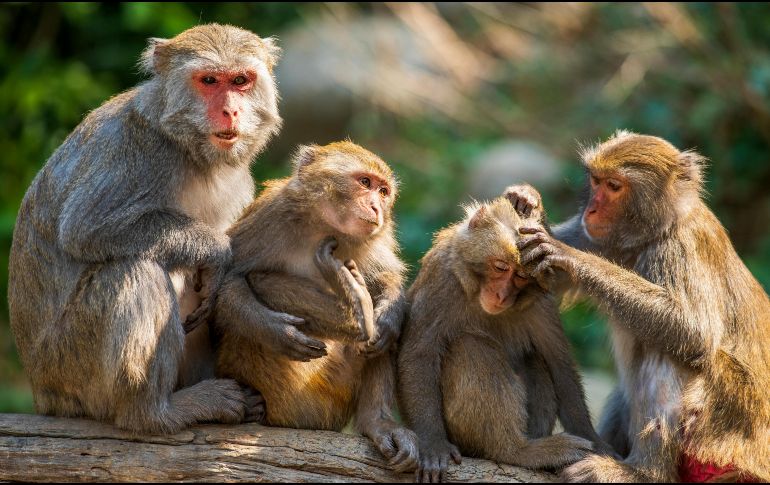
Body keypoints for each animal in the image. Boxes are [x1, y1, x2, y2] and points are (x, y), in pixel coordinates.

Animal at [8, 24, 282, 434]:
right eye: (209, 80)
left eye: (240, 80)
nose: (230, 111)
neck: (186, 148)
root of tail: (42, 393)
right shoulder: (138, 153)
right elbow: (86, 227)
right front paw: (217, 250)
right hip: (71, 366)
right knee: (135, 268)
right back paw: (155, 412)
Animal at [212, 141, 419, 473]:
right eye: (365, 182)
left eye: (384, 191)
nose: (376, 208)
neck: (323, 228)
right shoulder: (270, 217)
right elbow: (226, 285)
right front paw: (276, 331)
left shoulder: (372, 241)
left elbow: (386, 279)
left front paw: (389, 315)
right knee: (264, 281)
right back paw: (355, 314)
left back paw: (377, 421)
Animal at [398, 195, 614, 483]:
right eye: (501, 267)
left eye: (521, 276)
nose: (501, 295)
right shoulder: (441, 278)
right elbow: (419, 355)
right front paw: (432, 444)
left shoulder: (541, 304)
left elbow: (559, 365)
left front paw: (597, 443)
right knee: (472, 346)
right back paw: (516, 451)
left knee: (534, 358)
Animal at [506, 130, 770, 482]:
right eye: (596, 181)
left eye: (614, 186)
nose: (590, 211)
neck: (656, 231)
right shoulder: (597, 238)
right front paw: (526, 199)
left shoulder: (679, 249)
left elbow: (694, 331)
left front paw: (567, 254)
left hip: (726, 429)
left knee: (667, 351)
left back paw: (644, 472)